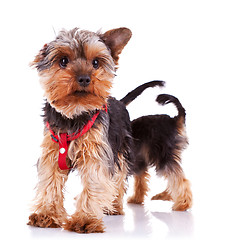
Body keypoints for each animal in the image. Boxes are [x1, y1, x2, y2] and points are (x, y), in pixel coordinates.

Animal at [27, 27, 135, 233]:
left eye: (96, 62)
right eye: (63, 61)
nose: (84, 78)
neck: (74, 114)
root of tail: (120, 102)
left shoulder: (96, 152)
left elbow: (94, 182)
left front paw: (85, 219)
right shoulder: (53, 152)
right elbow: (50, 181)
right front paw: (46, 214)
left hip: (121, 150)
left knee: (118, 178)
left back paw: (114, 206)